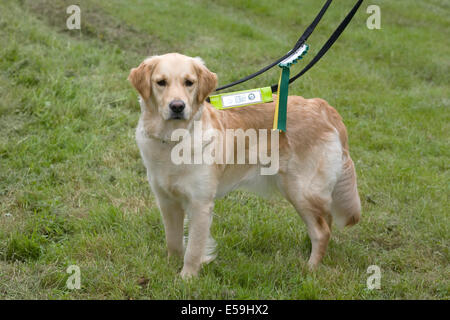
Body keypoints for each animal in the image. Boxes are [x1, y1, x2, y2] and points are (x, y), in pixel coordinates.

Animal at [128, 52, 360, 278]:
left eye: (189, 82)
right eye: (161, 82)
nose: (177, 106)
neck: (174, 139)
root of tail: (323, 107)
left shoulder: (200, 203)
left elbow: (193, 249)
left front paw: (186, 279)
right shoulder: (167, 201)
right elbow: (174, 241)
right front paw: (169, 268)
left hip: (300, 190)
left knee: (322, 231)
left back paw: (310, 268)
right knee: (324, 222)